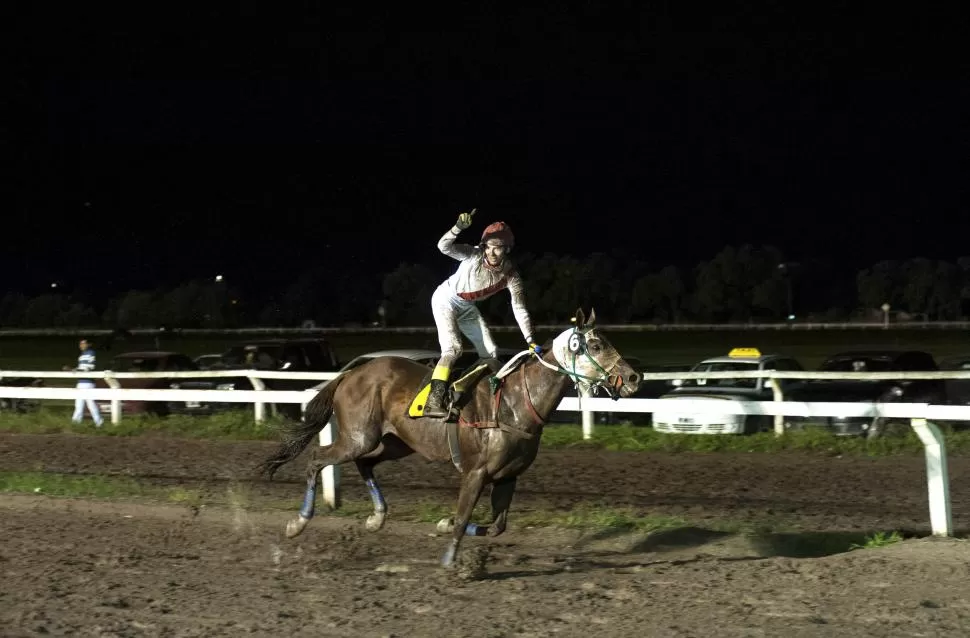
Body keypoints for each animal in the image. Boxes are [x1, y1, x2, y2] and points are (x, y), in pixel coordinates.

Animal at [255, 310, 644, 568]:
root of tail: (350, 373)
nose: (633, 377)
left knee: (365, 463)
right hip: (358, 436)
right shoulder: (475, 473)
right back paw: (298, 523)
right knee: (318, 459)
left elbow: (498, 526)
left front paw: (443, 525)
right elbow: (462, 517)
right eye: (596, 344)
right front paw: (448, 560)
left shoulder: (508, 476)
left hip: (394, 443)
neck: (516, 403)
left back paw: (377, 517)